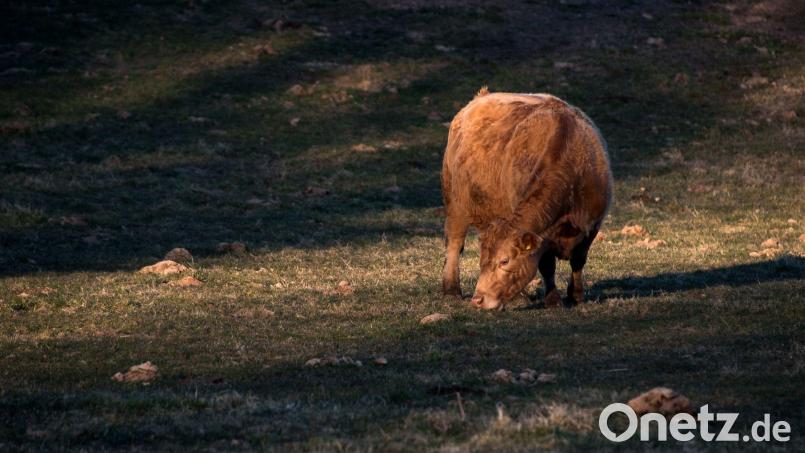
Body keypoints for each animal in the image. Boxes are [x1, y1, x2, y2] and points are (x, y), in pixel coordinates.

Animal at [440, 88, 613, 310]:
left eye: (504, 261)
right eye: (482, 261)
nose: (478, 299)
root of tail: (480, 98)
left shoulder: (593, 225)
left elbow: (578, 261)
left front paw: (576, 295)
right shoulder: (543, 236)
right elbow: (547, 266)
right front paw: (553, 299)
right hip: (455, 204)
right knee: (454, 243)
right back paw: (452, 290)